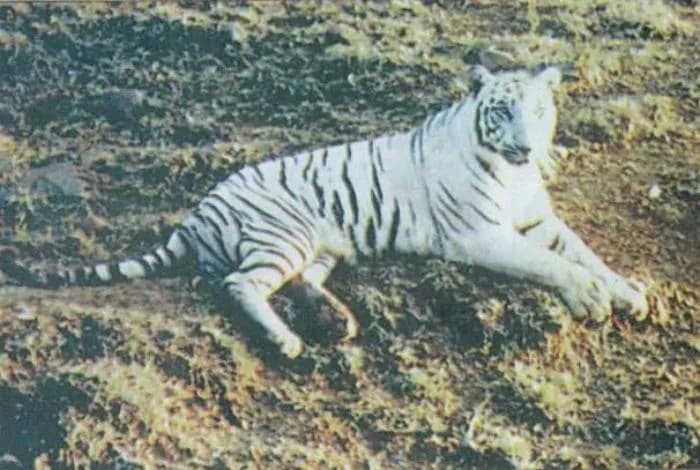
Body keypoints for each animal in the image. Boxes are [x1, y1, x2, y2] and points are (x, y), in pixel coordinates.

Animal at [0, 65, 648, 358]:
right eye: (501, 111)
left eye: (537, 110)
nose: (526, 147)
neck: (514, 177)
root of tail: (198, 210)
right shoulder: (480, 233)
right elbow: (548, 264)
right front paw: (592, 297)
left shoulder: (538, 219)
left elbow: (583, 251)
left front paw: (628, 291)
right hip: (285, 232)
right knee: (239, 285)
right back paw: (286, 340)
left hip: (321, 245)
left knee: (300, 282)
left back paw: (336, 320)